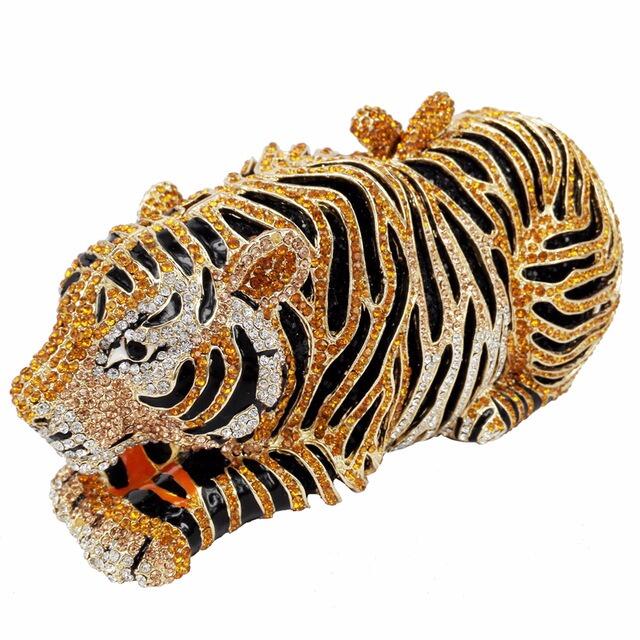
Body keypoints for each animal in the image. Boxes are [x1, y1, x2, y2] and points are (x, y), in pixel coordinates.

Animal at [10, 92, 622, 586]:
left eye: (134, 351)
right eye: (62, 311)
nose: (25, 409)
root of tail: (555, 131)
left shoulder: (328, 446)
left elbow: (213, 484)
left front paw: (131, 533)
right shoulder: (194, 417)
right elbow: (148, 446)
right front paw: (89, 493)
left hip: (551, 304)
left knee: (542, 381)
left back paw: (488, 409)